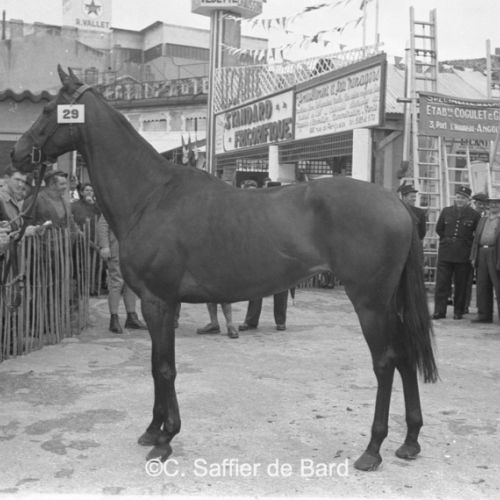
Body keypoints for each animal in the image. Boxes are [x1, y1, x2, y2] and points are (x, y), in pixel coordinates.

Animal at [11, 66, 438, 471]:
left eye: (49, 109)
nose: (17, 153)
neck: (151, 196)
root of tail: (398, 204)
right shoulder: (162, 303)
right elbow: (156, 365)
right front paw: (152, 430)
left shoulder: (158, 301)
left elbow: (165, 367)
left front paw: (166, 439)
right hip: (388, 303)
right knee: (405, 355)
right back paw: (410, 441)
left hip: (370, 303)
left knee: (385, 363)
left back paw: (373, 449)